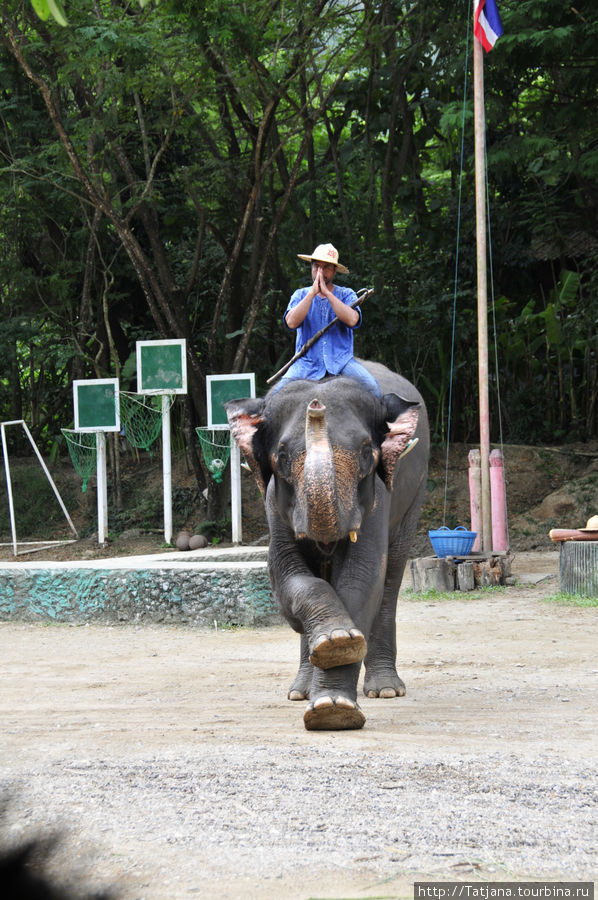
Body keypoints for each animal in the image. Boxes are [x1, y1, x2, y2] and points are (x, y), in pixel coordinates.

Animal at [223, 358, 428, 732]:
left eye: (366, 453)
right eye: (282, 456)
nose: (316, 407)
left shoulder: (378, 496)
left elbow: (362, 578)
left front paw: (334, 708)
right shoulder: (273, 502)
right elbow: (285, 574)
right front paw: (333, 640)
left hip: (414, 496)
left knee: (391, 578)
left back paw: (386, 690)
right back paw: (300, 691)